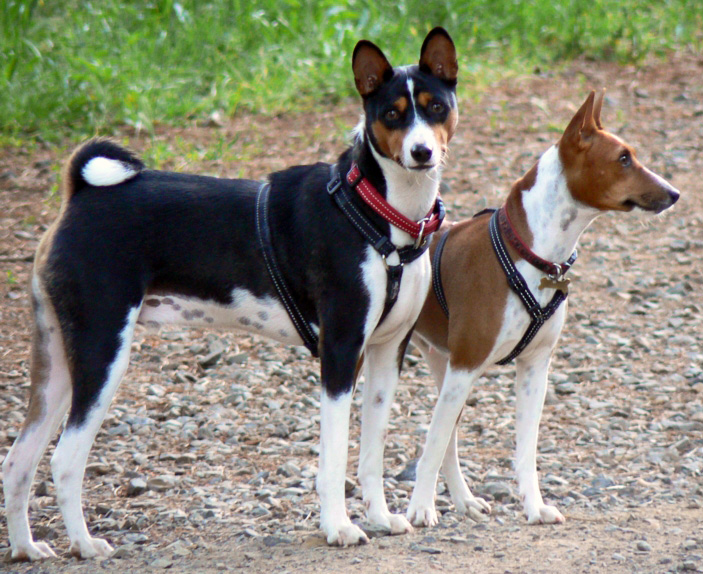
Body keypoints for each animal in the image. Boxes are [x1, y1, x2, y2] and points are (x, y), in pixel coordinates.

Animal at [2, 29, 462, 560]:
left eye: (434, 107)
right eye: (391, 113)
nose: (421, 152)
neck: (381, 213)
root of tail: (80, 193)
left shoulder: (388, 353)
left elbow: (370, 453)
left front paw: (382, 518)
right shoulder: (341, 353)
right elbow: (333, 459)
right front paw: (338, 527)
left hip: (58, 360)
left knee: (18, 461)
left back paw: (27, 548)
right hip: (102, 354)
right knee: (63, 460)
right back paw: (85, 543)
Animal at [408, 92, 680, 528]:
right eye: (624, 158)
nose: (673, 193)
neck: (531, 252)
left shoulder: (534, 368)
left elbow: (525, 449)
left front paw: (534, 508)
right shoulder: (466, 365)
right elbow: (432, 442)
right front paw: (419, 509)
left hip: (440, 363)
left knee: (448, 438)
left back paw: (465, 500)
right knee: (434, 436)